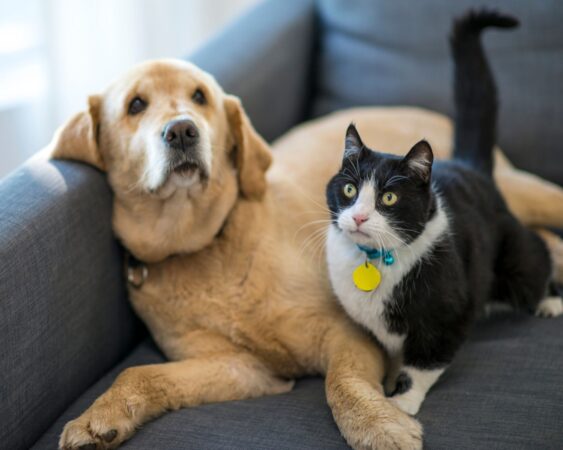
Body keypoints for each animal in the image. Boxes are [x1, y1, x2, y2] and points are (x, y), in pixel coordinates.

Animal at [50, 59, 563, 450]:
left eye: (200, 97)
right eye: (135, 105)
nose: (181, 132)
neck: (205, 244)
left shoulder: (346, 336)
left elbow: (342, 386)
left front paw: (380, 427)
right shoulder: (241, 368)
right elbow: (139, 373)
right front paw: (99, 418)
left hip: (521, 192)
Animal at [324, 10, 560, 416]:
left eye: (388, 198)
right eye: (350, 190)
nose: (358, 217)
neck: (377, 261)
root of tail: (471, 169)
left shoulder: (449, 314)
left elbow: (425, 362)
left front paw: (402, 403)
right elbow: (393, 355)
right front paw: (388, 384)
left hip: (512, 255)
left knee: (535, 258)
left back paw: (550, 300)